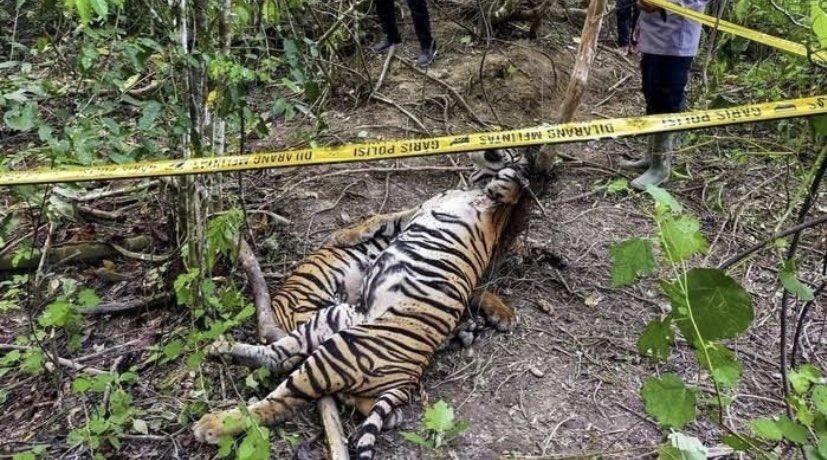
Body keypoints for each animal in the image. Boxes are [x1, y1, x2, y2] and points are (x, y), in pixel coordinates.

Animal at [194, 148, 528, 459]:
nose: (483, 146)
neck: (474, 185)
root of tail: (409, 377)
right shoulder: (417, 210)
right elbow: (380, 219)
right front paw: (343, 235)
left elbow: (512, 189)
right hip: (331, 318)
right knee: (280, 360)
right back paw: (222, 352)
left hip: (337, 347)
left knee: (280, 394)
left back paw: (212, 422)